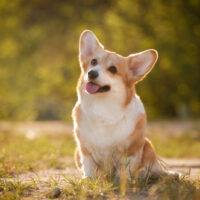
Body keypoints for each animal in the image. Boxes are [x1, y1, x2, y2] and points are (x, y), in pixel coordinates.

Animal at [72, 29, 177, 180]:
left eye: (113, 69)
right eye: (93, 62)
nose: (91, 73)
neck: (103, 107)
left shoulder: (130, 150)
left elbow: (125, 167)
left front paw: (123, 180)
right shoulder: (84, 148)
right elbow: (89, 165)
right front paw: (89, 179)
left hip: (148, 146)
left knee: (156, 169)